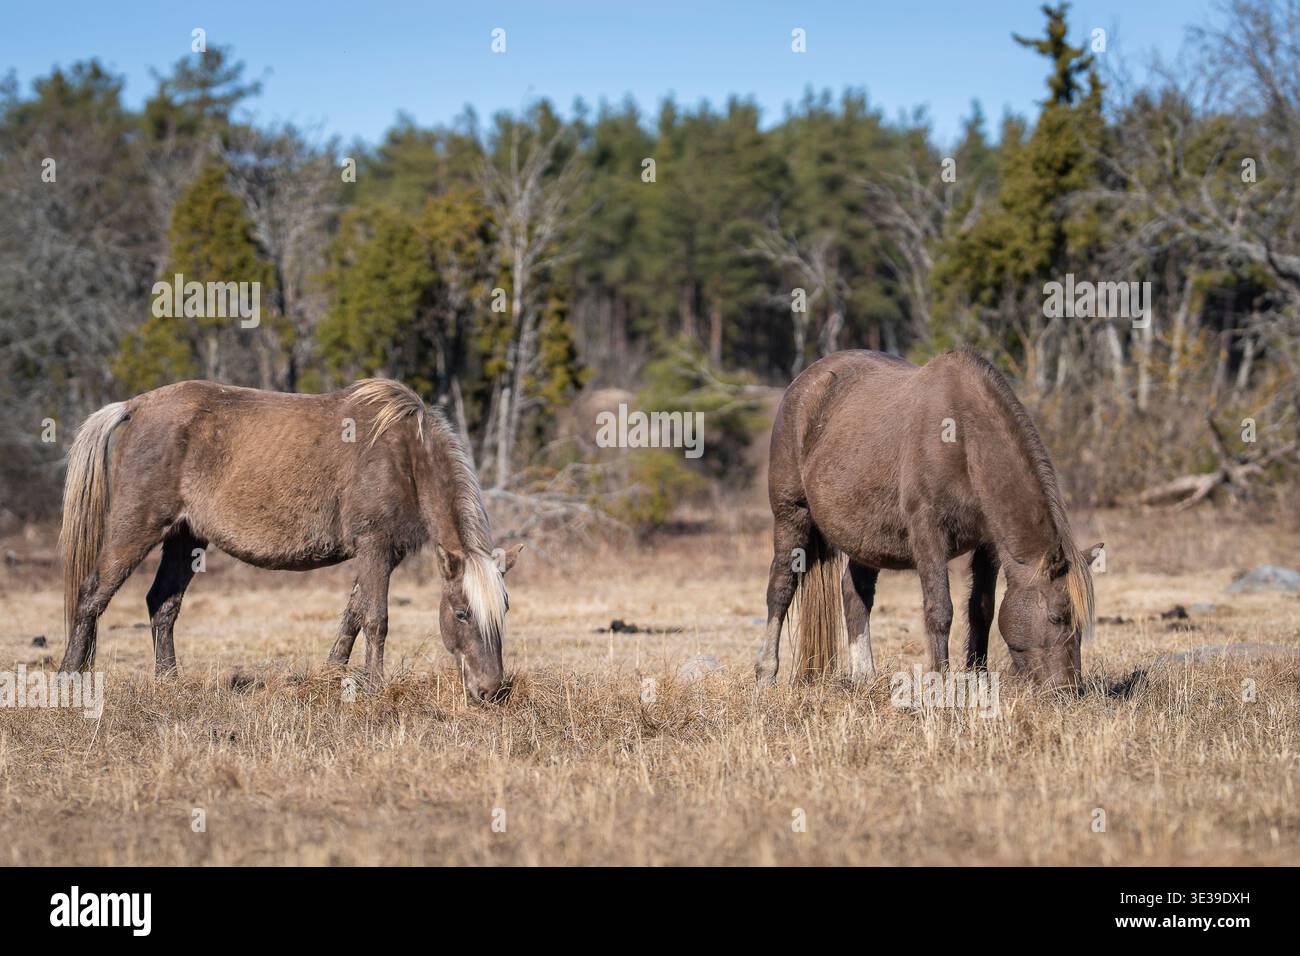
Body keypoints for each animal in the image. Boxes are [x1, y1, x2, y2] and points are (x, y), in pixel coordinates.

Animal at [57, 378, 522, 701]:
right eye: (461, 613)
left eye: (504, 610)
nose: (490, 691)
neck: (406, 453)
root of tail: (137, 406)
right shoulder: (374, 546)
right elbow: (376, 619)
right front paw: (374, 688)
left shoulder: (381, 554)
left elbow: (352, 617)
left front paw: (331, 677)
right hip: (137, 527)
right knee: (92, 595)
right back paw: (67, 680)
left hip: (185, 539)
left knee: (163, 604)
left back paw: (169, 682)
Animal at [756, 349, 1100, 691]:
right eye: (1057, 616)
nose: (1069, 689)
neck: (962, 439)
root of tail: (805, 382)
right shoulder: (928, 531)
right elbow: (939, 609)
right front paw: (940, 684)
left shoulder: (988, 543)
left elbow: (981, 609)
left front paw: (977, 679)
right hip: (792, 514)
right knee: (781, 588)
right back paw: (766, 673)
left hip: (864, 535)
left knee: (855, 594)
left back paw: (864, 676)